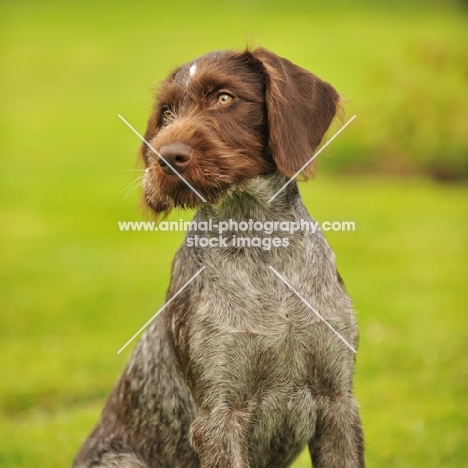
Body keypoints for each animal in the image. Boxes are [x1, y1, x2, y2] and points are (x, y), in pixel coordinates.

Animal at [73, 46, 366, 468]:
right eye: (166, 112)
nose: (164, 157)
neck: (261, 247)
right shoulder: (219, 416)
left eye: (225, 97)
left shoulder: (338, 402)